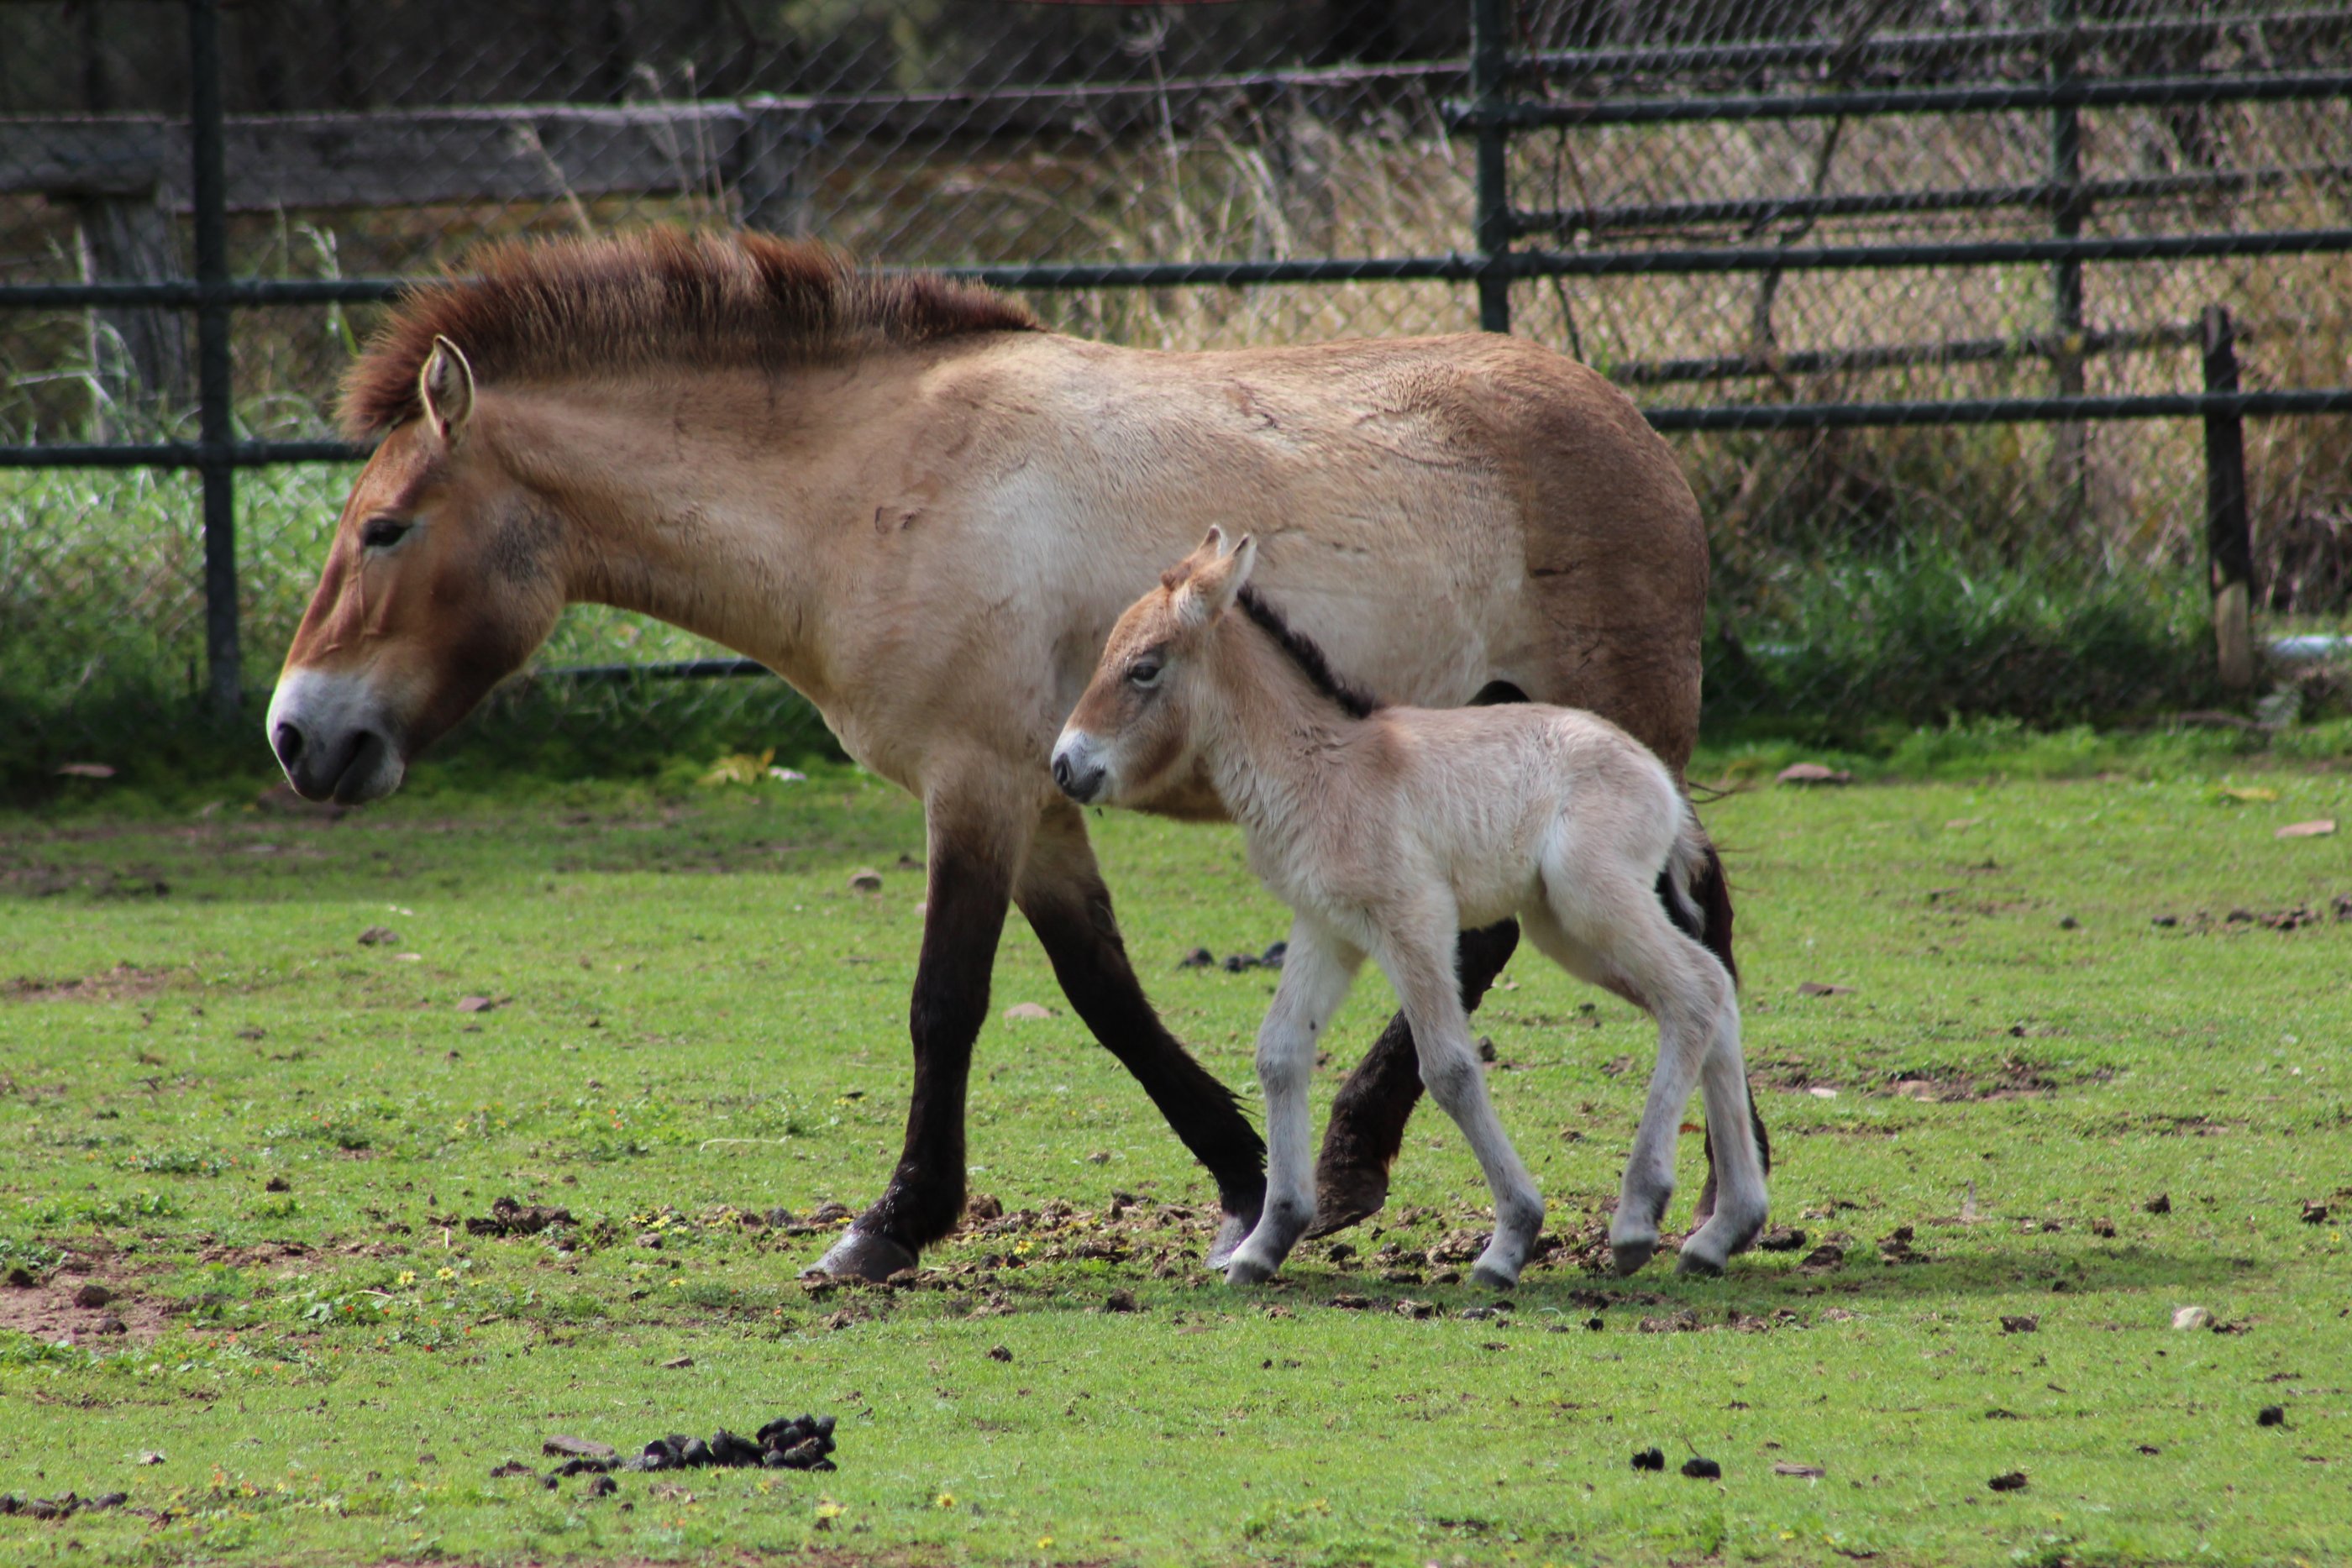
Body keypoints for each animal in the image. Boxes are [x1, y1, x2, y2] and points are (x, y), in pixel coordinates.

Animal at [262, 236, 1768, 1287]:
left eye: (385, 527)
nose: (296, 733)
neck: (865, 487)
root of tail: (1647, 446)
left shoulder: (974, 783)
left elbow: (947, 1003)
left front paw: (888, 1225)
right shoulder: (1042, 794)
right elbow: (1104, 995)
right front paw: (1244, 1184)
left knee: (1646, 951)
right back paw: (1696, 1198)